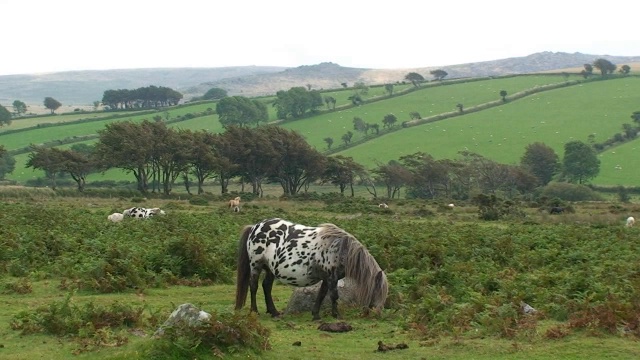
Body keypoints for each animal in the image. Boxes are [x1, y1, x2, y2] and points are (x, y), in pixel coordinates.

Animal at [234, 218, 388, 320]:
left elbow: (321, 295)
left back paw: (274, 312)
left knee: (266, 286)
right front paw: (337, 315)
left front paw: (316, 315)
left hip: (270, 269)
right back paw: (254, 311)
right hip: (256, 265)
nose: (378, 313)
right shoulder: (332, 277)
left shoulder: (327, 278)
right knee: (253, 286)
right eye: (378, 291)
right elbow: (334, 295)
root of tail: (255, 227)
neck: (341, 249)